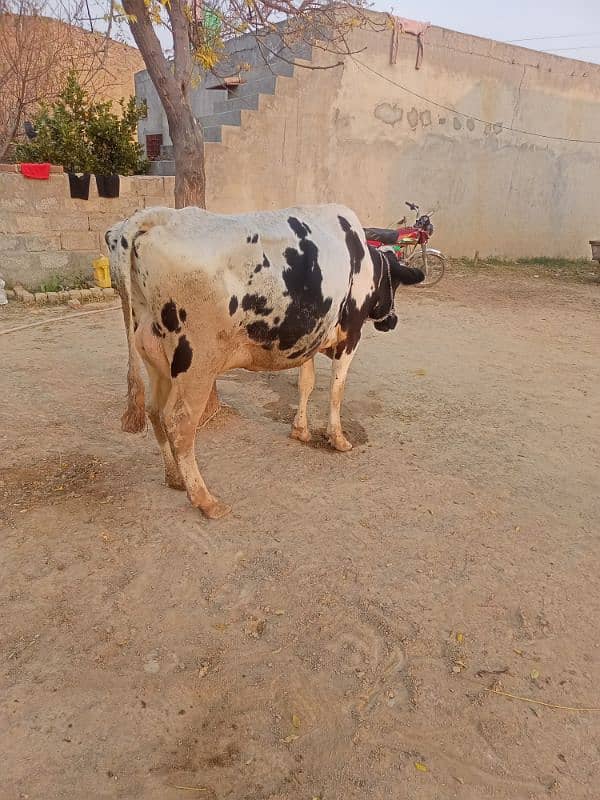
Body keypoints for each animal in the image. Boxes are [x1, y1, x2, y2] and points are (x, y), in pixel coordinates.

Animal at [105, 202, 422, 520]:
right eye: (395, 286)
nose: (392, 321)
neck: (360, 256)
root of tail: (154, 216)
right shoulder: (351, 335)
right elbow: (336, 389)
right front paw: (338, 439)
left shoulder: (306, 338)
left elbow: (306, 384)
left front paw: (300, 430)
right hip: (197, 363)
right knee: (179, 422)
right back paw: (205, 500)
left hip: (155, 357)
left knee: (154, 410)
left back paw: (175, 478)